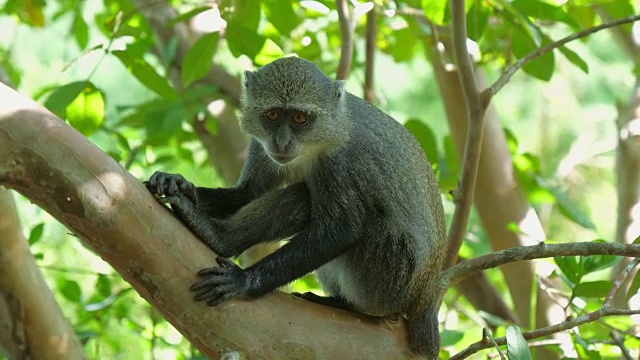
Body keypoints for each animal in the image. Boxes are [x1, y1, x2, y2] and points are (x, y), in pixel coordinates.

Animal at [145, 56, 444, 358]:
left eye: (300, 118)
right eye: (272, 115)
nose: (282, 142)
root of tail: (425, 298)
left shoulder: (338, 160)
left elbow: (343, 230)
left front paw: (243, 281)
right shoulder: (261, 145)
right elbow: (246, 194)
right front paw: (178, 184)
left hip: (390, 273)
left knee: (307, 196)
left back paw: (220, 239)